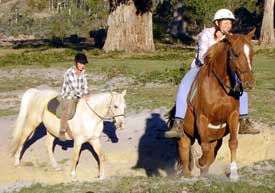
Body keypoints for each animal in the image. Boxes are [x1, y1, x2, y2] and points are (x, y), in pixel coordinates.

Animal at [175, 29, 256, 181]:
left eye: (252, 53)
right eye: (236, 54)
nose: (249, 84)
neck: (220, 88)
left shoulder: (233, 116)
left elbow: (233, 143)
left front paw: (234, 173)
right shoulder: (202, 118)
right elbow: (204, 149)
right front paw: (200, 162)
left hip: (216, 141)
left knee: (210, 154)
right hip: (185, 136)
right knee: (185, 152)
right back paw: (188, 175)